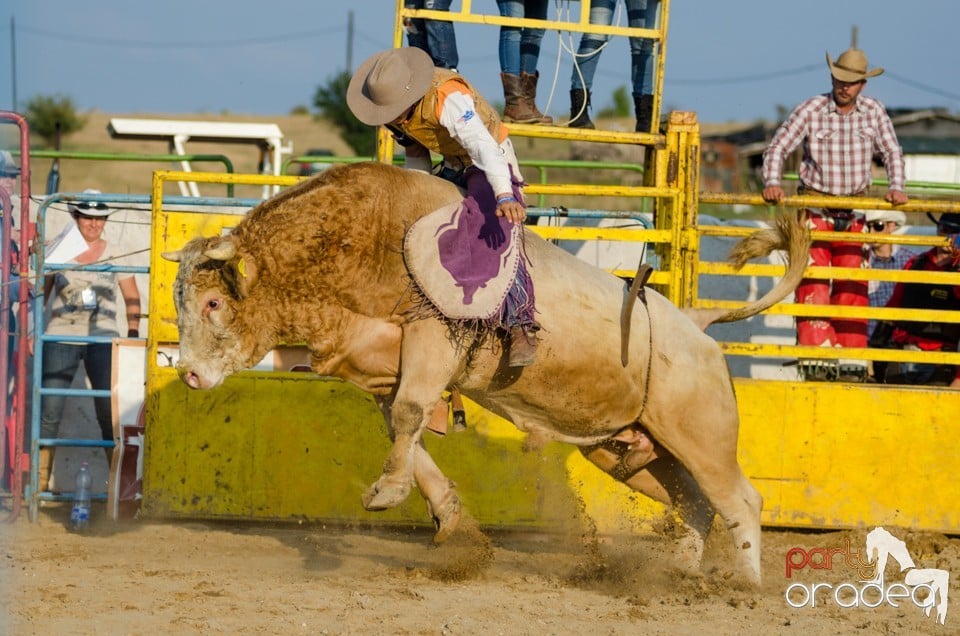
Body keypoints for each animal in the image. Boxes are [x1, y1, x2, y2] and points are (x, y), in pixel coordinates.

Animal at [161, 163, 808, 588]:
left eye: (214, 303)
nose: (189, 375)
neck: (359, 239)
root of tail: (696, 322)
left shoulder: (434, 335)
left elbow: (409, 415)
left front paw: (388, 493)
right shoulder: (379, 370)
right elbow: (407, 427)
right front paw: (450, 520)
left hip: (701, 433)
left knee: (739, 498)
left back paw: (743, 586)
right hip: (629, 449)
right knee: (695, 501)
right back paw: (680, 575)